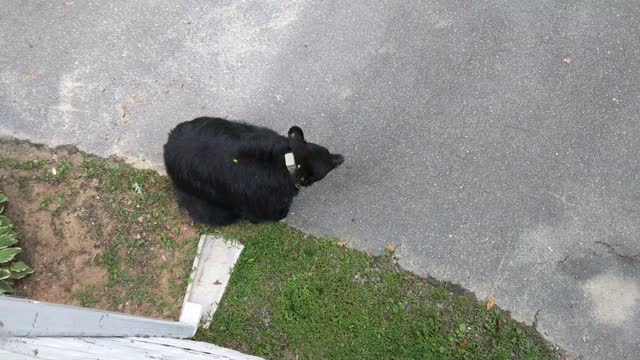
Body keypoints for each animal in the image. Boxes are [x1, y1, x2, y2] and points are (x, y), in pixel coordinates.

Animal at [164, 117, 344, 225]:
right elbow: (266, 212)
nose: (341, 157)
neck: (288, 162)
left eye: (328, 152)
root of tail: (167, 146)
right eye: (329, 165)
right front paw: (281, 213)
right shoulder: (261, 196)